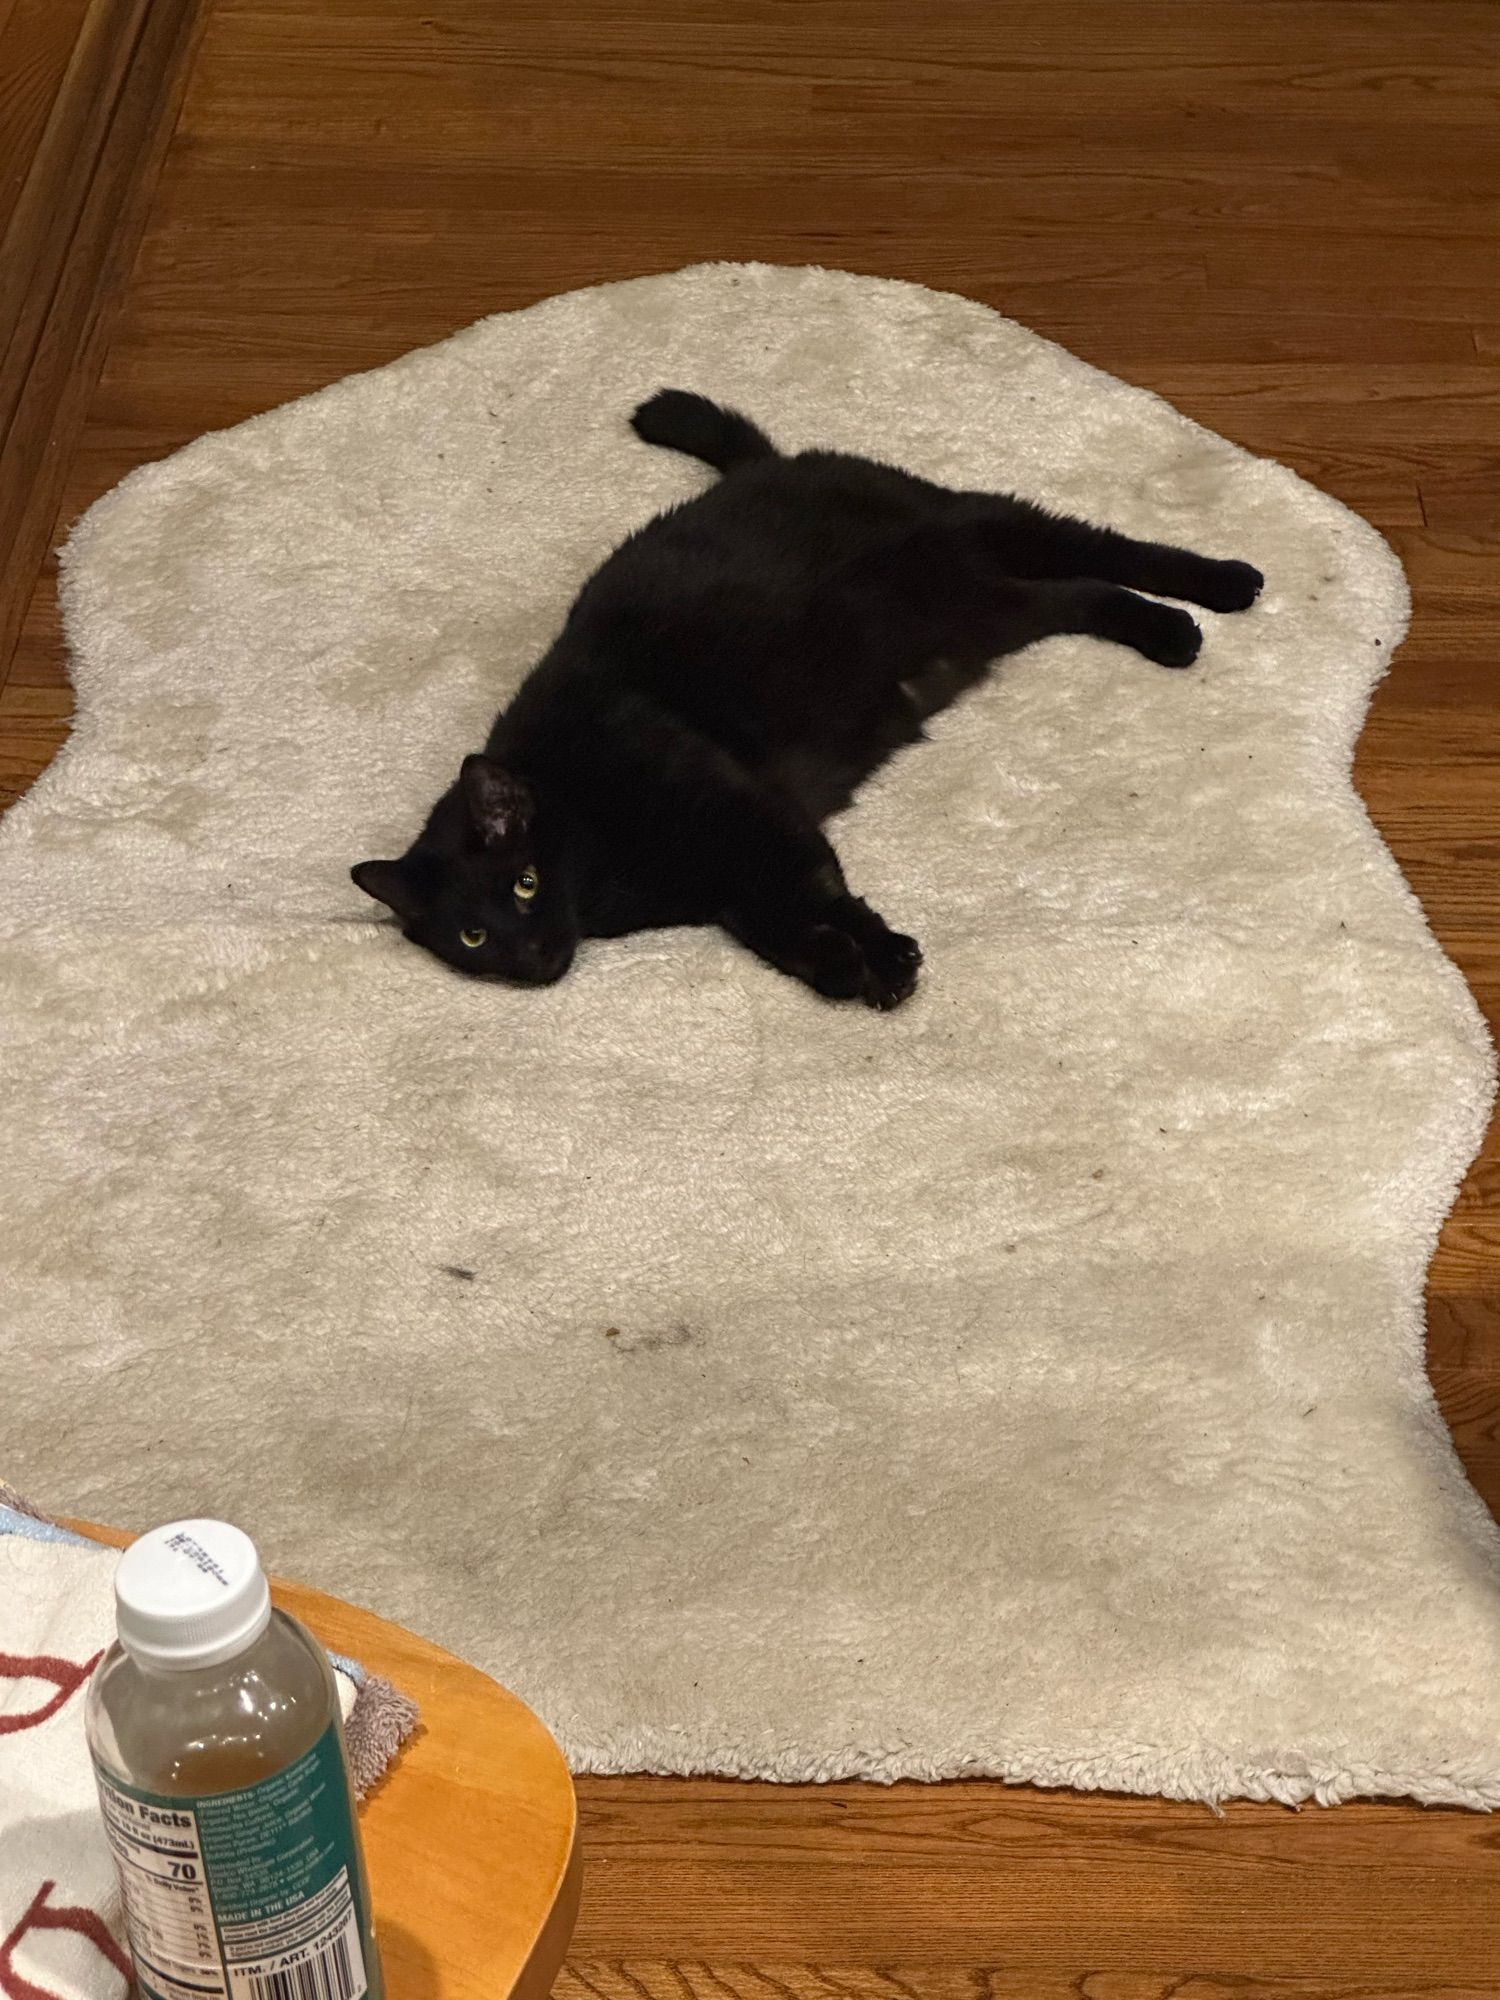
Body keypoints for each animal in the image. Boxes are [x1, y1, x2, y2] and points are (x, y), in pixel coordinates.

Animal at [356, 388, 1272, 1008]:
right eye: (473, 936)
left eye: (523, 883)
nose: (533, 954)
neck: (599, 856)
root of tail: (767, 465)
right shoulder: (725, 873)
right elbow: (778, 924)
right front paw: (840, 966)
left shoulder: (745, 812)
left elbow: (817, 885)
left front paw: (885, 957)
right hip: (985, 612)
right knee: (1081, 594)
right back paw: (1169, 632)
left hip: (980, 527)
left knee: (1107, 548)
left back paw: (1223, 588)